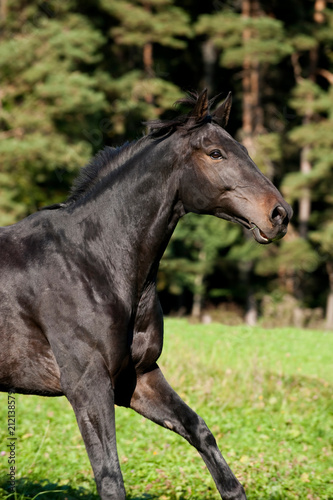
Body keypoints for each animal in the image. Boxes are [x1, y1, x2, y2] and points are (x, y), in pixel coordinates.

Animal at [0, 91, 290, 500]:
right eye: (215, 153)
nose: (280, 214)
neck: (92, 259)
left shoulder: (139, 377)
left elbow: (199, 430)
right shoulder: (87, 384)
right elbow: (109, 475)